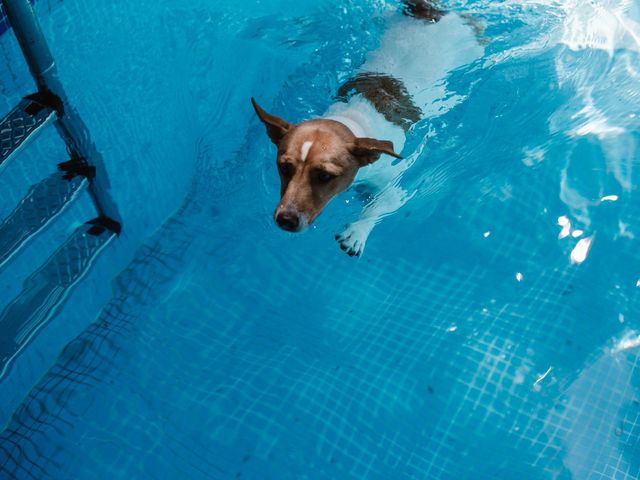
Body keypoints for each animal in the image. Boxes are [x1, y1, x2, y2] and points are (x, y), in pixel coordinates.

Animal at [252, 0, 482, 256]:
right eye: (284, 167)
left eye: (325, 176)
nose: (286, 219)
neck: (351, 121)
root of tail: (430, 14)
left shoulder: (392, 188)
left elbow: (379, 206)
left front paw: (357, 232)